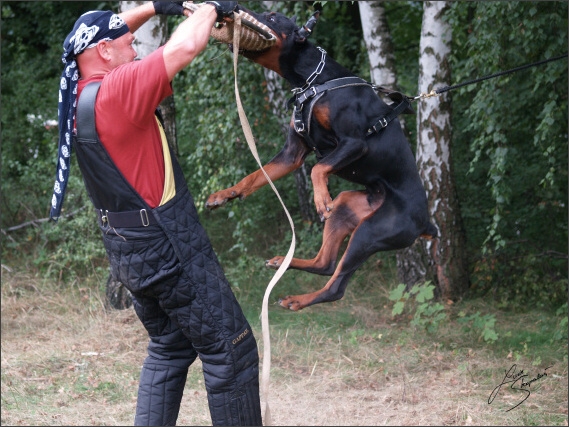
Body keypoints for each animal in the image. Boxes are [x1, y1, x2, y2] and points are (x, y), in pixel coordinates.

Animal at [206, 8, 438, 312]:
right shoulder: (292, 154)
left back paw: (298, 299)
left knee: (336, 286)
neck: (312, 81)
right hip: (347, 208)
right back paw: (284, 264)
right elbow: (256, 176)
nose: (232, 11)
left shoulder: (355, 143)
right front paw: (224, 194)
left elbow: (318, 167)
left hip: (371, 231)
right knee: (325, 263)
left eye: (272, 16)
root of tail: (426, 223)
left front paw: (320, 198)